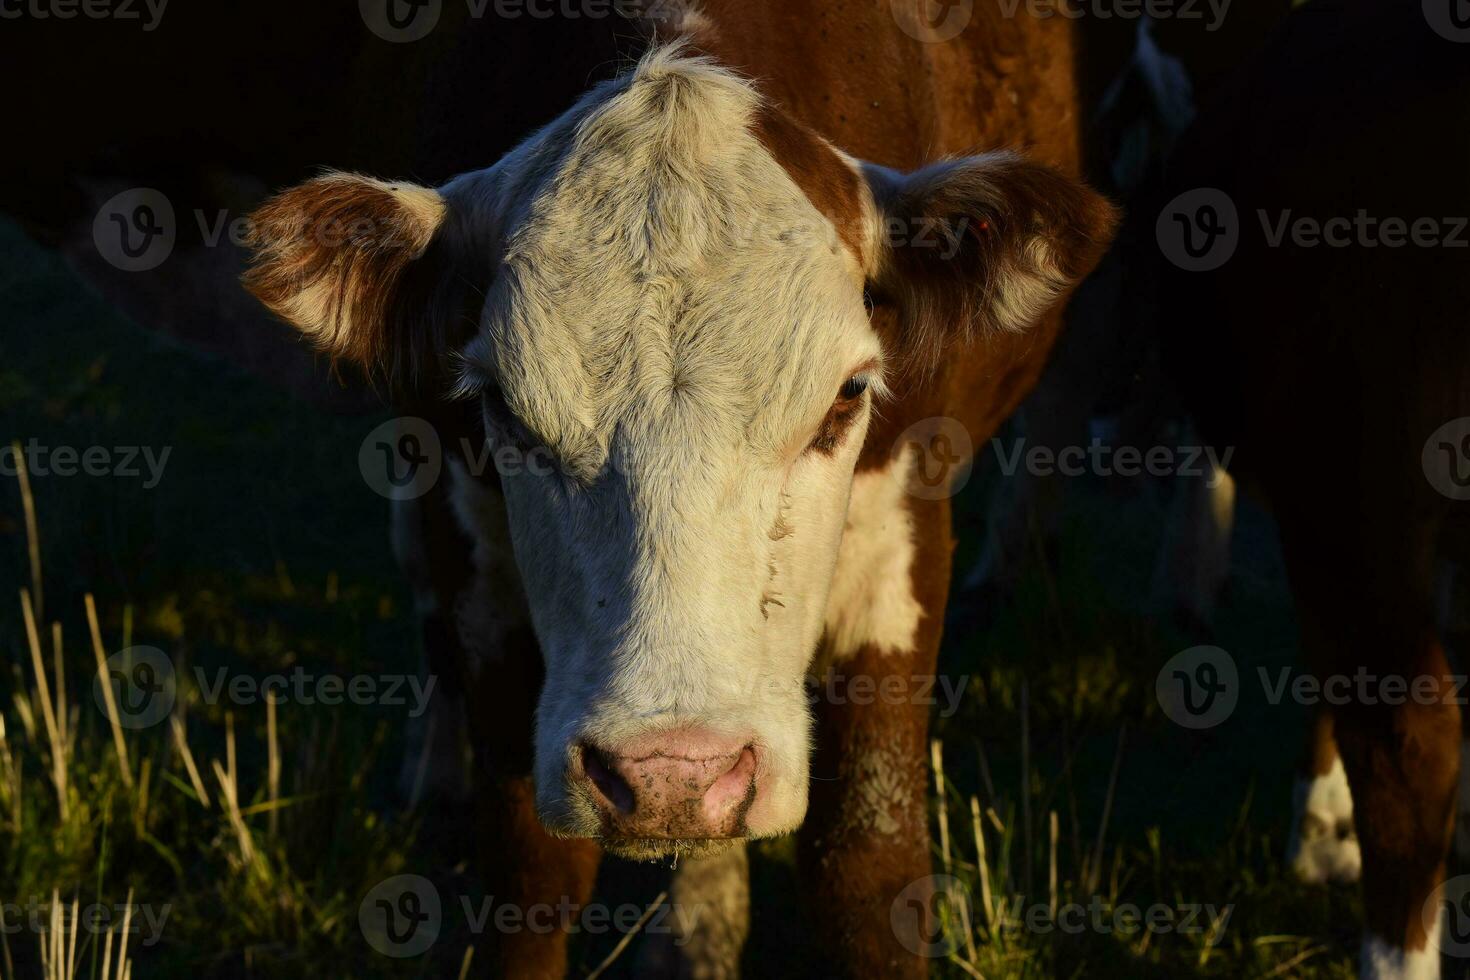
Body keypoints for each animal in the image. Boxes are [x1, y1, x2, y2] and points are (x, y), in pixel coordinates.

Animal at [241, 3, 1111, 975]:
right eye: (502, 403)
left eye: (847, 395)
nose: (670, 775)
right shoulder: (465, 524)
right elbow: (531, 874)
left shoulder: (902, 535)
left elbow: (865, 867)